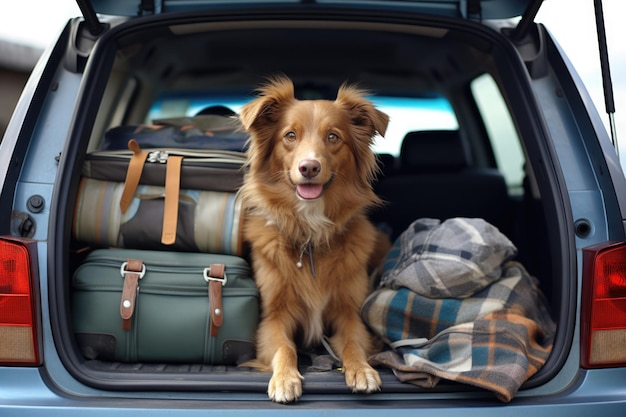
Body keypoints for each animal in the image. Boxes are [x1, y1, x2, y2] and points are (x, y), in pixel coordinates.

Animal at [238, 76, 388, 402]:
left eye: (333, 137)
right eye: (290, 135)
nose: (309, 167)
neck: (310, 232)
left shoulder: (349, 315)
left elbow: (352, 343)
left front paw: (362, 370)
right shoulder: (273, 319)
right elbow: (285, 347)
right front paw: (284, 378)